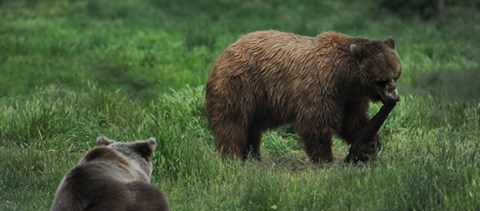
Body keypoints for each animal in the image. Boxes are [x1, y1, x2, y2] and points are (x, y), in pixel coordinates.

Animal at [206, 30, 402, 163]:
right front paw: (325, 159)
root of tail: (224, 52)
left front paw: (368, 146)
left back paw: (253, 156)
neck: (344, 78)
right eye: (381, 80)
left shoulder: (351, 99)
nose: (394, 97)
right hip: (241, 85)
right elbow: (316, 124)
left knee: (252, 128)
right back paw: (233, 156)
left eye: (396, 75)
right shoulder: (320, 88)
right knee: (233, 123)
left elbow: (353, 122)